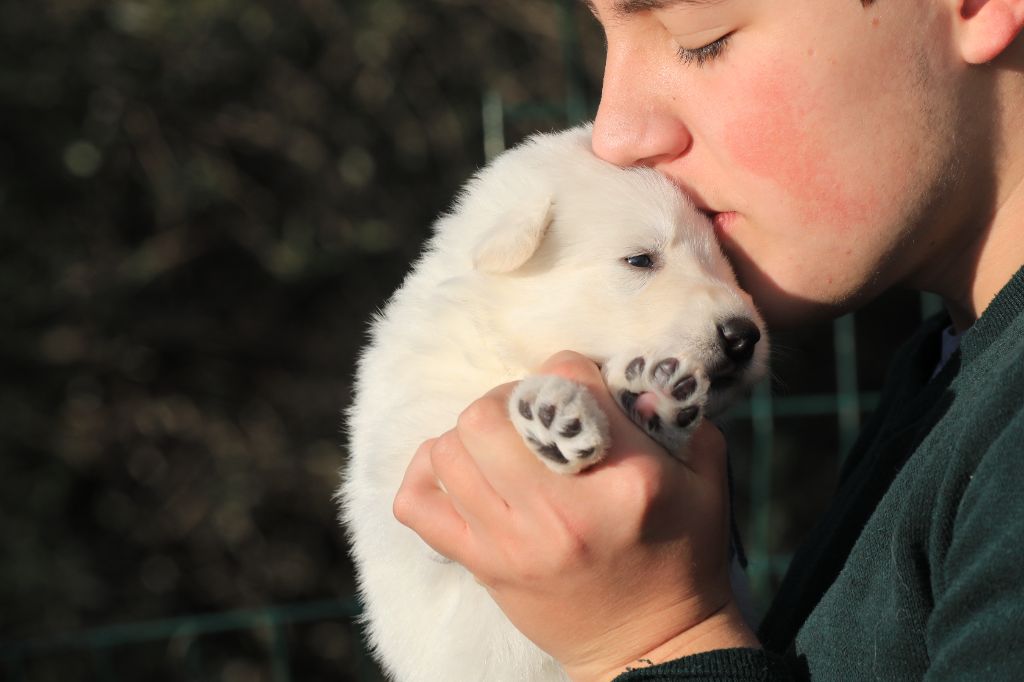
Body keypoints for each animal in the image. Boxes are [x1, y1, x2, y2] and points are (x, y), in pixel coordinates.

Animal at [337, 123, 770, 679]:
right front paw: (556, 408)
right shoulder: (405, 472)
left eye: (724, 259)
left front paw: (648, 395)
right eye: (639, 259)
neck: (510, 347)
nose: (744, 337)